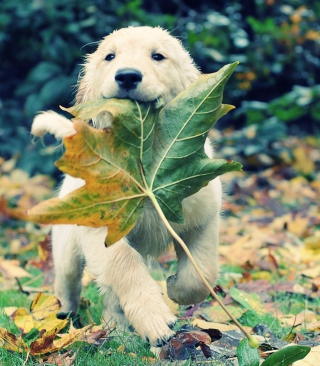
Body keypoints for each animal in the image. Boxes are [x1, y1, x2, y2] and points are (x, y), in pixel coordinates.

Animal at [32, 26, 222, 346]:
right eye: (110, 56)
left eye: (158, 56)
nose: (128, 76)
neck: (144, 160)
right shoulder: (102, 231)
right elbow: (125, 267)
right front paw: (154, 319)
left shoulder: (203, 218)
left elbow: (202, 272)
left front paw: (176, 288)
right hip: (67, 246)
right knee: (69, 285)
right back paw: (67, 320)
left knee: (110, 295)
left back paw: (117, 329)